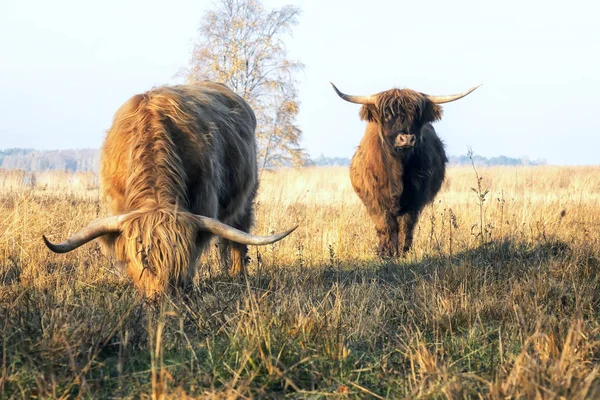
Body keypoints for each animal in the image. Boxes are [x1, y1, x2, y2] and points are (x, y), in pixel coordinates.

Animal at [43, 81, 296, 298]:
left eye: (179, 263)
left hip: (245, 198)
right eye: (142, 261)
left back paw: (236, 275)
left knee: (237, 238)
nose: (160, 298)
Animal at [330, 83, 480, 258]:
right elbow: (385, 225)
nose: (406, 139)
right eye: (387, 115)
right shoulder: (375, 199)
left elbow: (406, 225)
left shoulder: (415, 199)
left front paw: (403, 251)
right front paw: (385, 253)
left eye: (416, 115)